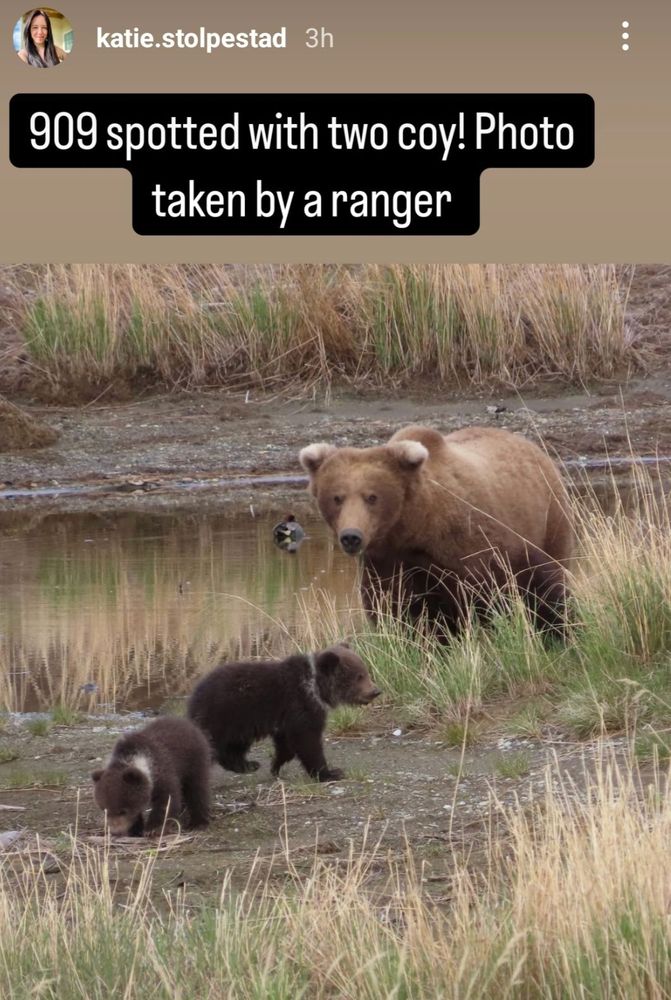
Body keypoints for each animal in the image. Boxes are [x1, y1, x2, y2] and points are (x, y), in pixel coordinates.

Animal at [187, 643, 381, 782]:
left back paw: (248, 764)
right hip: (226, 715)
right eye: (359, 676)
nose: (376, 691)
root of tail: (194, 696)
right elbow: (307, 741)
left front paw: (275, 766)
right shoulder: (301, 706)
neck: (316, 687)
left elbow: (286, 745)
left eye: (365, 672)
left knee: (233, 747)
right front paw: (329, 772)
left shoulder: (286, 718)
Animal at [299, 425, 573, 635]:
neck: (416, 528)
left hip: (551, 518)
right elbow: (391, 608)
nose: (351, 537)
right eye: (337, 497)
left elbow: (490, 597)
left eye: (372, 497)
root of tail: (531, 445)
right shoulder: (387, 562)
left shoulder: (471, 549)